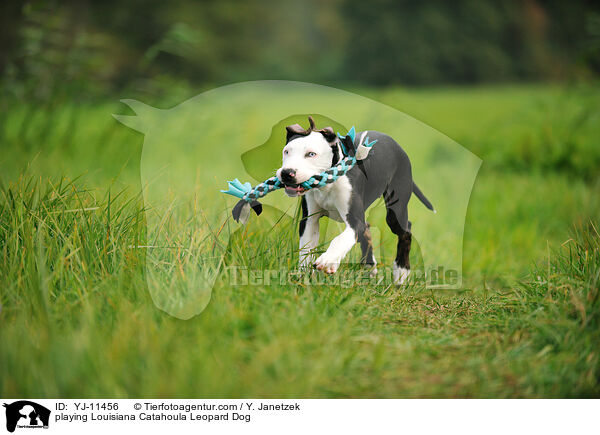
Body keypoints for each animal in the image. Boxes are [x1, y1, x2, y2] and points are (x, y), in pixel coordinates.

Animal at [276, 116, 436, 286]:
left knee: (405, 231)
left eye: (311, 154)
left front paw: (328, 260)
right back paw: (370, 267)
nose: (286, 173)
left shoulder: (354, 221)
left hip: (396, 209)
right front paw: (303, 278)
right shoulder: (309, 220)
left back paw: (401, 272)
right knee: (367, 229)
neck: (329, 179)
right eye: (286, 151)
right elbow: (306, 250)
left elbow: (340, 239)